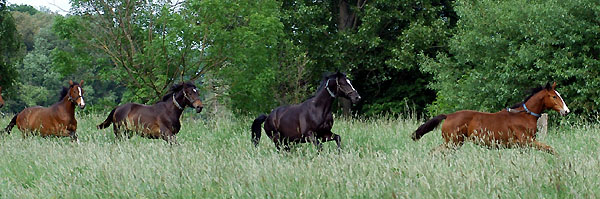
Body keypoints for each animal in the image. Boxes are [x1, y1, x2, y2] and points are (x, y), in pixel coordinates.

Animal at [412, 81, 572, 155]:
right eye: (554, 96)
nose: (566, 111)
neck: (523, 116)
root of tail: (448, 116)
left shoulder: (523, 146)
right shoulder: (527, 141)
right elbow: (550, 149)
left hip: (454, 143)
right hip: (453, 142)